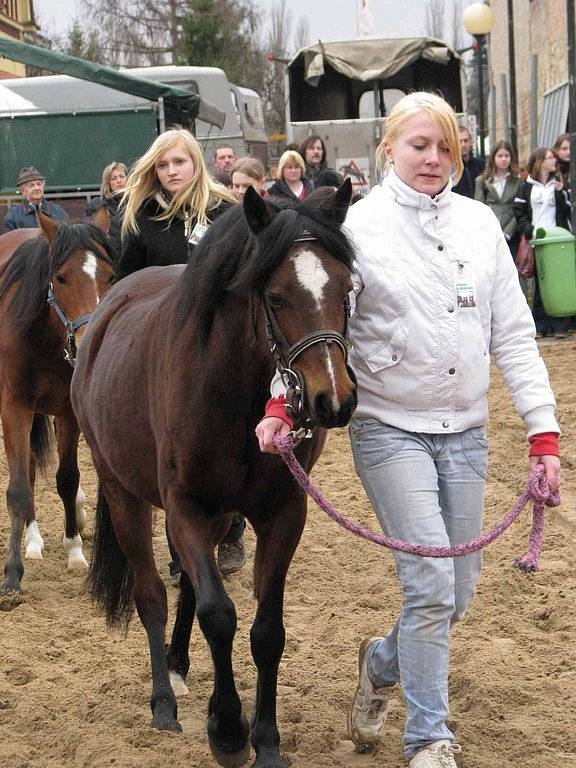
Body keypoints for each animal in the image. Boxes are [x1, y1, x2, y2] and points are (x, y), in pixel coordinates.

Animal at [0, 213, 115, 596]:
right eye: (61, 277)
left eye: (110, 275)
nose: (91, 337)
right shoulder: (14, 407)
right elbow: (19, 487)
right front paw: (12, 575)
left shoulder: (68, 411)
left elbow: (67, 478)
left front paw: (75, 549)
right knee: (29, 470)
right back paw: (32, 542)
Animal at [70, 184, 358, 768]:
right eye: (275, 297)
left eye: (345, 288)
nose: (332, 400)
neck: (232, 393)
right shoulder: (187, 507)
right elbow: (218, 614)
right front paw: (227, 730)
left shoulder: (281, 514)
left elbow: (266, 631)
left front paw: (266, 740)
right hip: (124, 493)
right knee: (153, 594)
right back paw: (164, 699)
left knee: (184, 585)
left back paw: (180, 665)